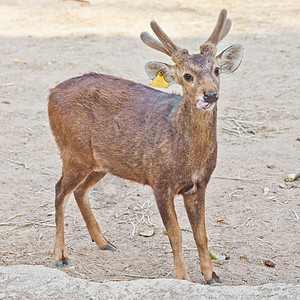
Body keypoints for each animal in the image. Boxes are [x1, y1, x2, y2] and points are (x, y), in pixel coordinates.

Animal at [47, 8, 244, 284]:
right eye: (187, 76)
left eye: (216, 70)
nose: (210, 94)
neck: (189, 158)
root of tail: (51, 93)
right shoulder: (159, 182)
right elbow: (176, 234)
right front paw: (181, 278)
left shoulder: (200, 185)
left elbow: (201, 235)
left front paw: (212, 275)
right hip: (73, 150)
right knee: (59, 191)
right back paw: (61, 256)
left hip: (102, 162)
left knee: (79, 191)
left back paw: (104, 241)